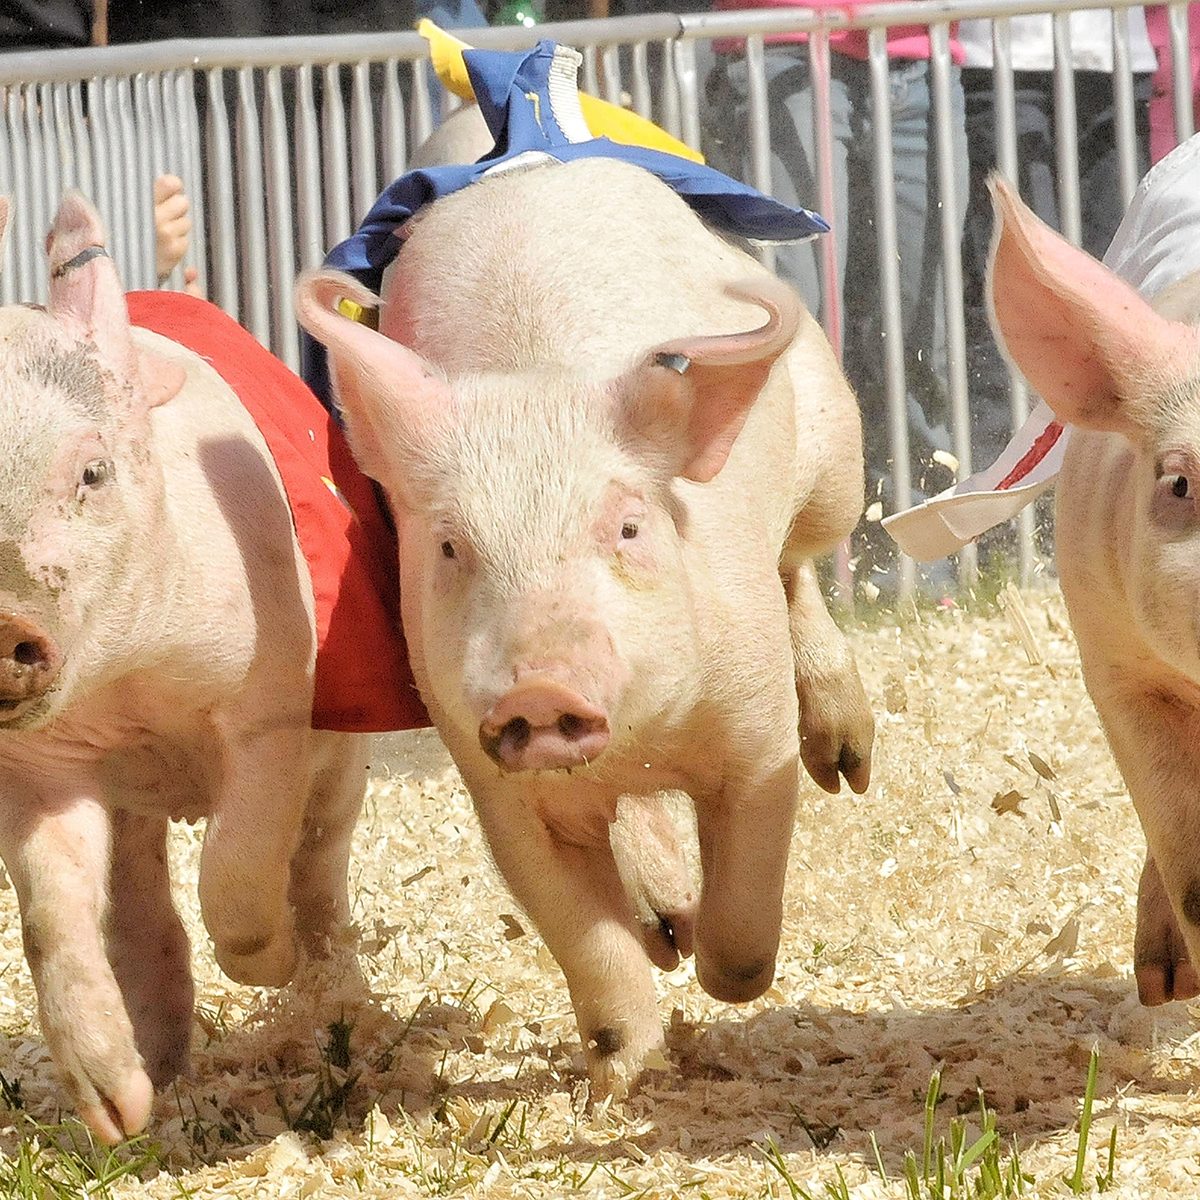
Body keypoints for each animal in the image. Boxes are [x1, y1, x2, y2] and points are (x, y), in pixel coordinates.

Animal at [0, 192, 369, 1143]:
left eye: (92, 472)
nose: (4, 623)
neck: (129, 687)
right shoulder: (33, 769)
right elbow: (52, 916)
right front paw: (113, 1119)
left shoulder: (271, 702)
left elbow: (236, 879)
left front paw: (272, 964)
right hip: (133, 811)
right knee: (139, 909)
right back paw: (162, 1074)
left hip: (342, 765)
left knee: (321, 860)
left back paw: (326, 989)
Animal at [296, 155, 875, 1091]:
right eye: (451, 548)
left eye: (630, 528)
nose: (538, 687)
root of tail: (529, 158)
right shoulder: (498, 784)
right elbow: (584, 938)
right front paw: (632, 1075)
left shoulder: (755, 732)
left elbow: (749, 919)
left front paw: (718, 978)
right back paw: (664, 926)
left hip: (834, 458)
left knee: (799, 562)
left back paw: (847, 767)